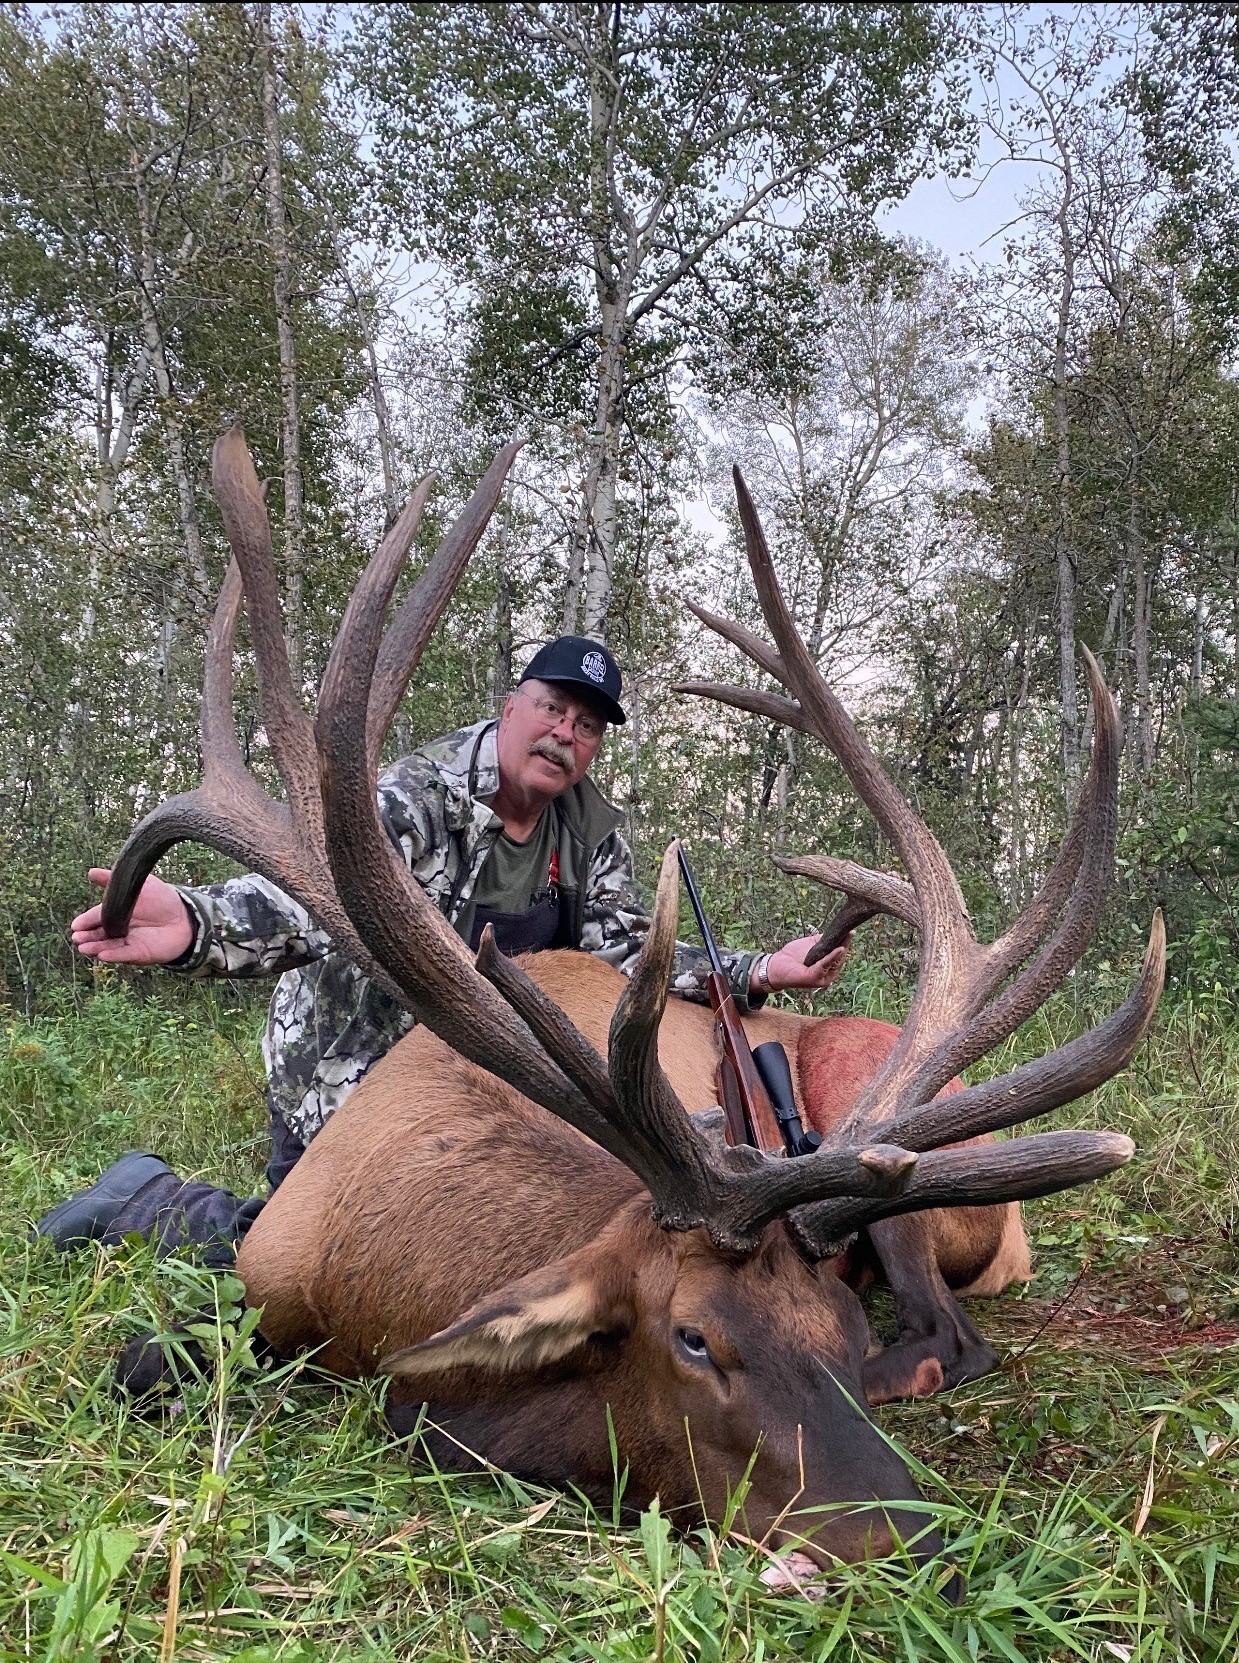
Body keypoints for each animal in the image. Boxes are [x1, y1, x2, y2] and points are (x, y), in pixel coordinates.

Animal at [99, 427, 1164, 1583]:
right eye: (694, 1336)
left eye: (839, 1325)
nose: (915, 1546)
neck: (369, 1285)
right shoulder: (260, 1275)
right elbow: (139, 1358)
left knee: (944, 1334)